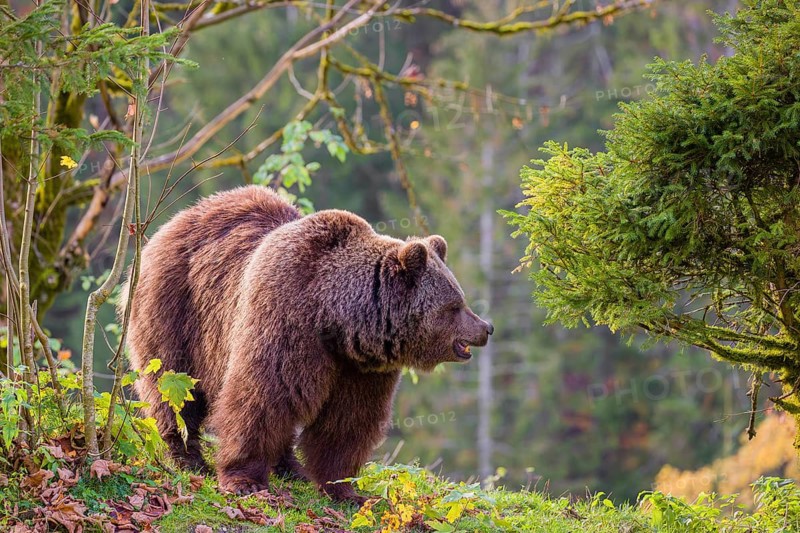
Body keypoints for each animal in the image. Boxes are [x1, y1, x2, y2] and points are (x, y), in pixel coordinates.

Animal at [122, 185, 493, 503]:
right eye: (454, 305)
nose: (485, 327)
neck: (337, 319)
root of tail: (175, 219)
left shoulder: (360, 367)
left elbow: (348, 421)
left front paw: (344, 488)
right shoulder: (284, 318)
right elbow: (260, 397)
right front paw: (244, 479)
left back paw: (291, 468)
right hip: (174, 308)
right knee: (173, 388)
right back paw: (187, 458)